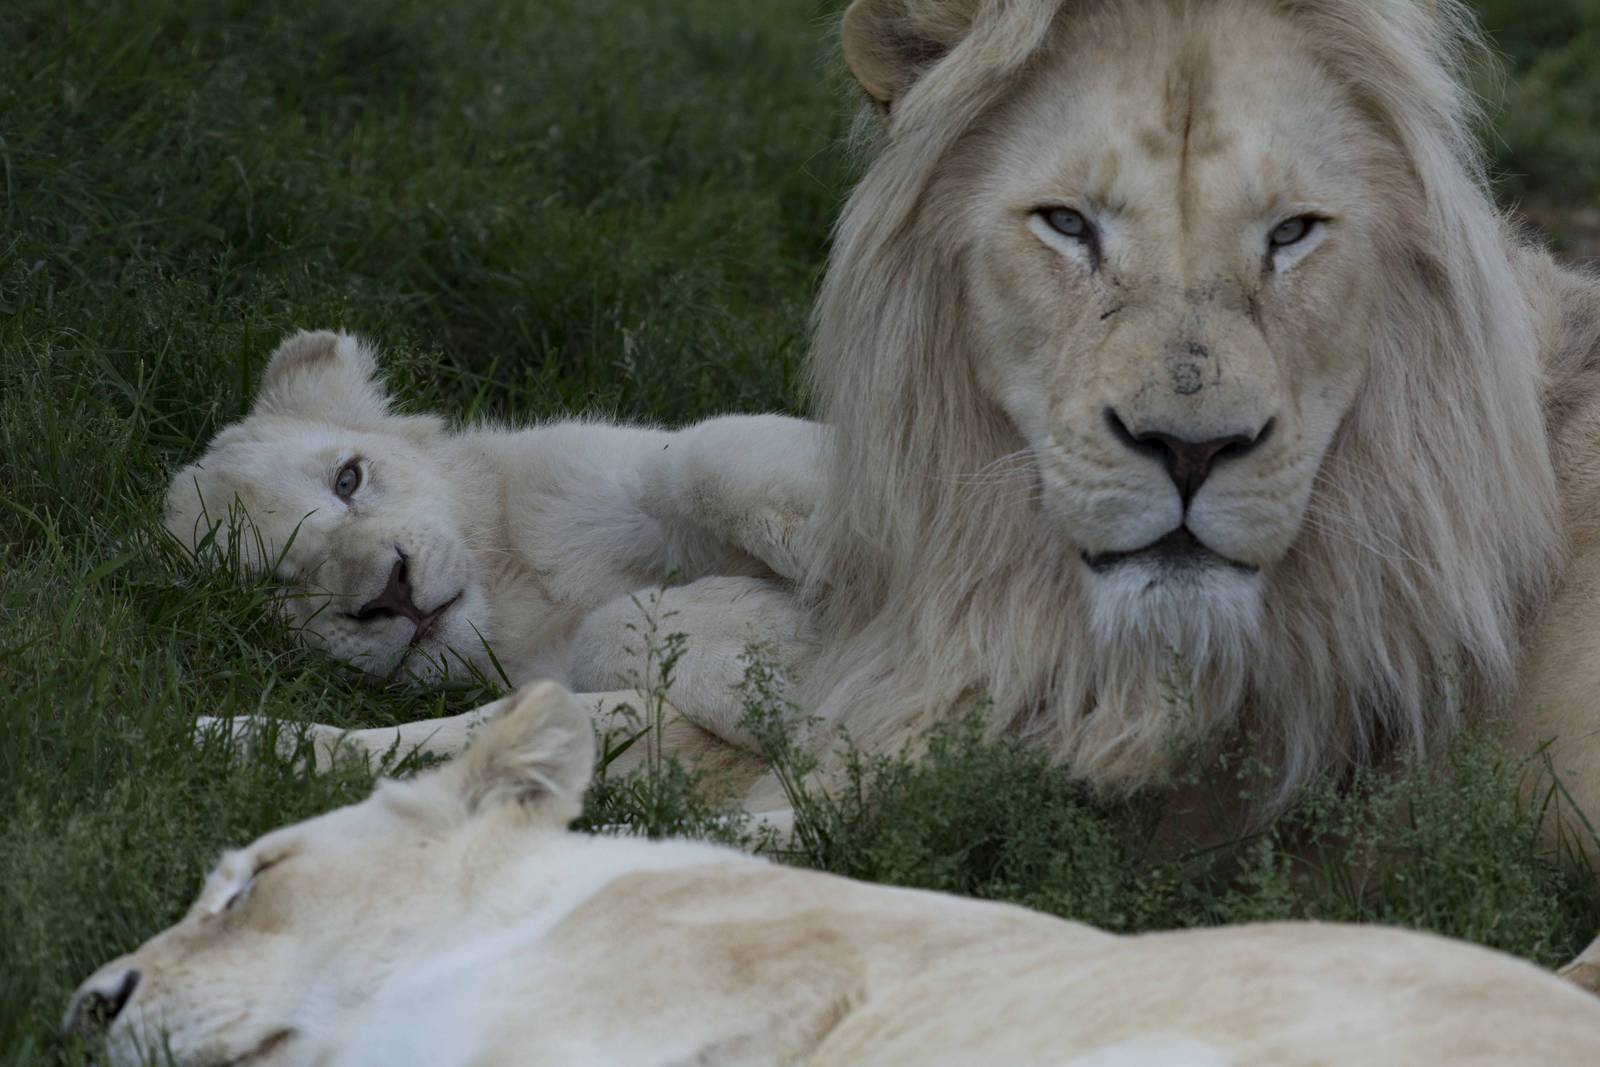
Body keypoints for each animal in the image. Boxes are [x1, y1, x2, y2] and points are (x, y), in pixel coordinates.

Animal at [165, 329, 822, 765]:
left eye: (347, 480)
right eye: (272, 584)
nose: (391, 592)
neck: (519, 602)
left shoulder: (621, 476)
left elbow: (707, 463)